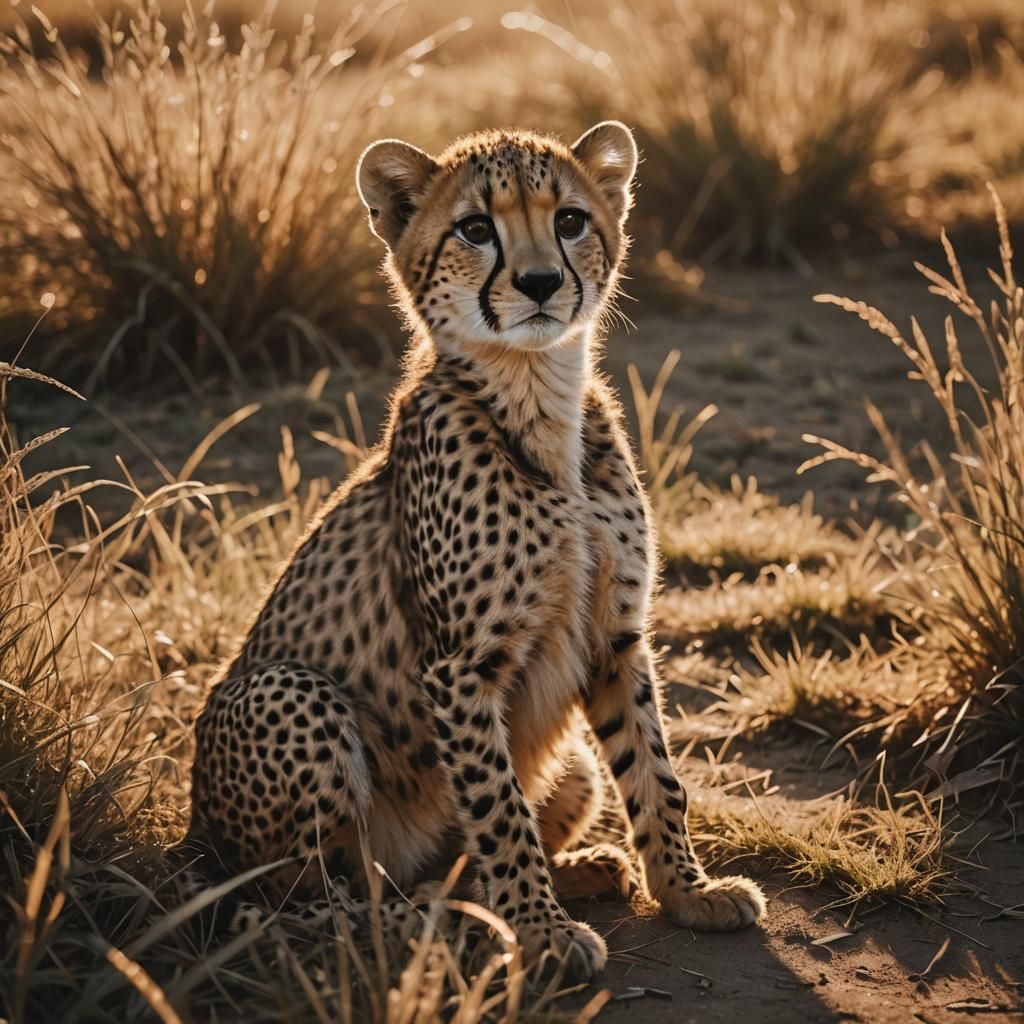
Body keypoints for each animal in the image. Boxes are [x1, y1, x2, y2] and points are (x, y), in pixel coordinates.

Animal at [183, 121, 766, 980]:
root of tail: (193, 837)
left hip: (570, 764)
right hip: (285, 693)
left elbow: (655, 773)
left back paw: (570, 872)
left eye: (570, 220)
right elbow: (499, 809)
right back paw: (448, 922)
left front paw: (688, 891)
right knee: (314, 902)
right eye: (474, 229)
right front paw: (543, 932)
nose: (539, 282)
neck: (537, 394)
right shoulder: (459, 667)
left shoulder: (617, 635)